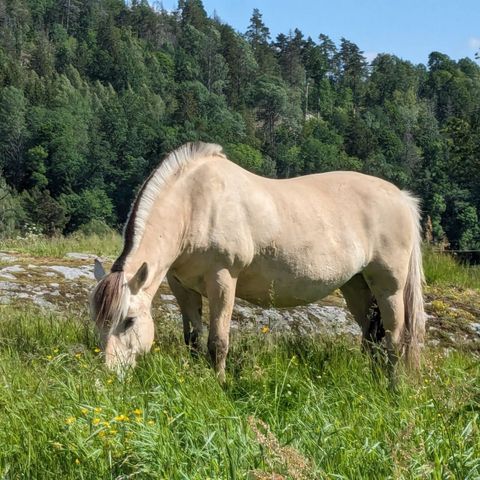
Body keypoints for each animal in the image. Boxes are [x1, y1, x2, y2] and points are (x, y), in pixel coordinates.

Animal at [90, 142, 424, 382]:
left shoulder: (223, 280)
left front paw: (219, 383)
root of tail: (402, 198)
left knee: (396, 337)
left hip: (389, 287)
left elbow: (218, 341)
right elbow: (193, 338)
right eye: (97, 319)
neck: (196, 203)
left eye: (129, 320)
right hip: (356, 286)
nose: (109, 375)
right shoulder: (181, 285)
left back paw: (393, 386)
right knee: (371, 336)